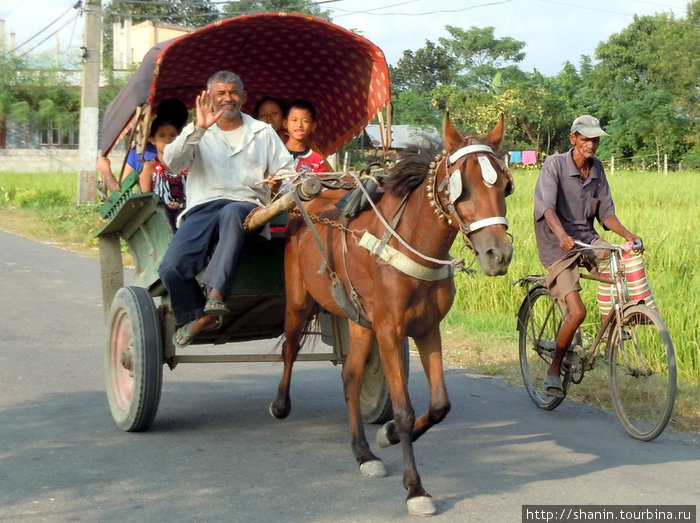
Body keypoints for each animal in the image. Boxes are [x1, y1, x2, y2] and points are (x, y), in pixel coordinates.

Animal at [270, 114, 512, 516]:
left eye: (506, 186)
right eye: (462, 188)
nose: (499, 254)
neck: (409, 243)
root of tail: (301, 204)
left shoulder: (427, 329)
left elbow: (439, 405)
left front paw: (388, 436)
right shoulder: (389, 330)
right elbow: (403, 408)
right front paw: (415, 488)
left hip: (359, 322)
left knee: (350, 379)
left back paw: (363, 452)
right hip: (299, 301)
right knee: (290, 348)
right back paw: (280, 404)